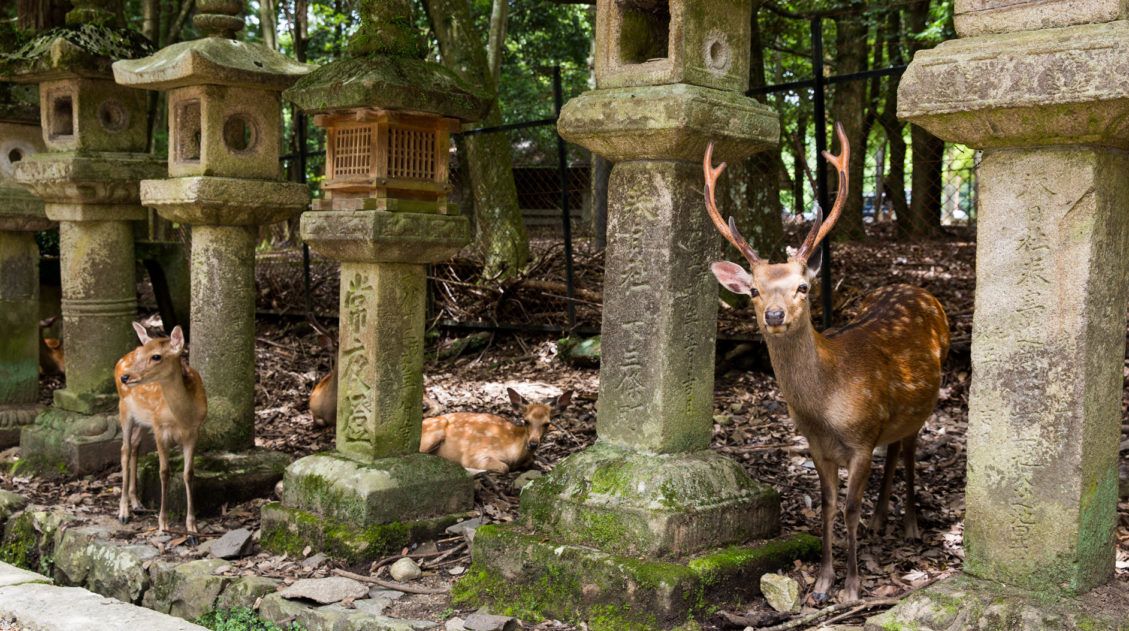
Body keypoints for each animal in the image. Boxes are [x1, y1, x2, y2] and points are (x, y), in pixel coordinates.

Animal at [114, 325, 207, 537]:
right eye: (141, 354)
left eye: (156, 356)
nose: (126, 377)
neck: (183, 417)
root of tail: (121, 360)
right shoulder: (159, 429)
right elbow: (164, 472)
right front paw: (163, 523)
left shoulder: (194, 432)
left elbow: (189, 473)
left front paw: (192, 527)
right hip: (124, 408)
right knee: (124, 450)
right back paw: (123, 512)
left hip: (142, 420)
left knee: (135, 445)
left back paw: (137, 503)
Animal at [699, 122, 948, 600]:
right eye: (754, 290)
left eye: (803, 287)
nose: (775, 315)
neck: (827, 407)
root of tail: (918, 289)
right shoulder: (816, 445)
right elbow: (828, 506)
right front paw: (821, 582)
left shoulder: (862, 438)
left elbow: (848, 508)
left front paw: (851, 586)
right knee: (895, 448)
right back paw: (880, 520)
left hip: (923, 405)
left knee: (909, 449)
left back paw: (909, 524)